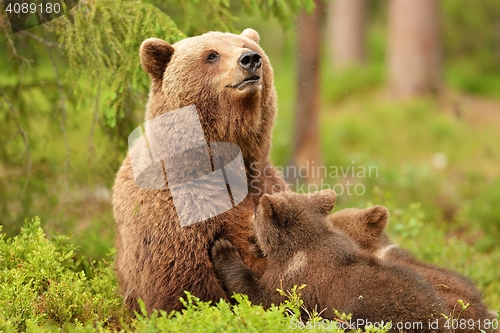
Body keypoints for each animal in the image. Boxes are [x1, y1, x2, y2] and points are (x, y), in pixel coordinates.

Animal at [111, 27, 288, 312]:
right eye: (211, 55)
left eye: (248, 46)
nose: (250, 59)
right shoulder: (177, 209)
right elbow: (185, 284)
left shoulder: (265, 183)